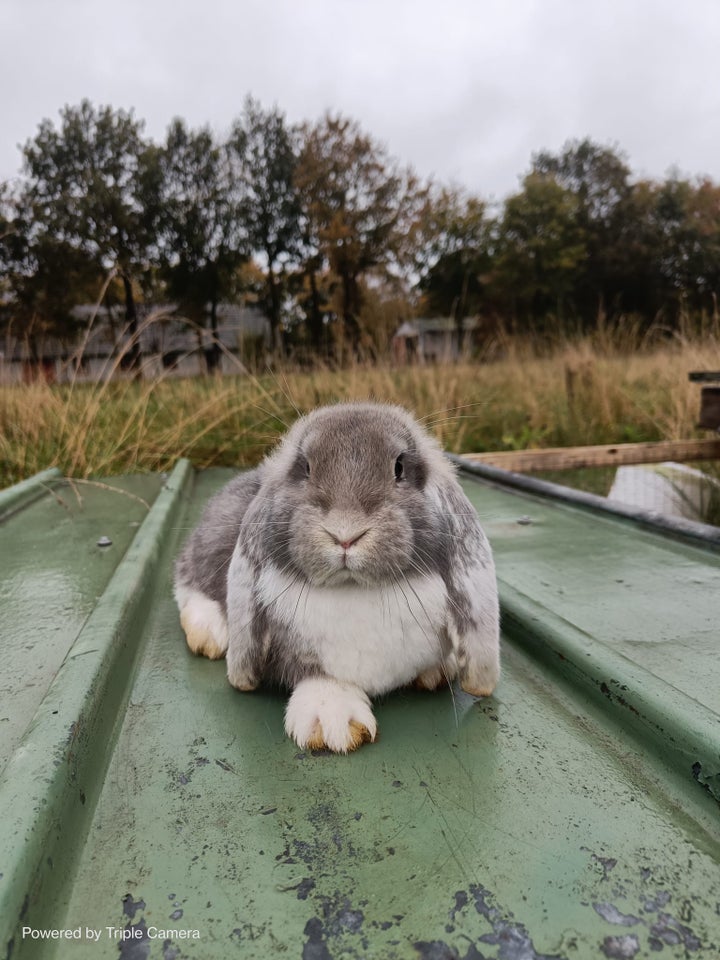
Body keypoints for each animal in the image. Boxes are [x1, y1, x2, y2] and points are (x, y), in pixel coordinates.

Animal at [174, 402, 500, 752]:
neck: (353, 590)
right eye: (305, 467)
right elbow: (318, 677)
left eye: (399, 467)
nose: (345, 534)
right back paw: (207, 634)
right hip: (206, 553)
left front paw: (437, 670)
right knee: (188, 582)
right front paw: (333, 721)